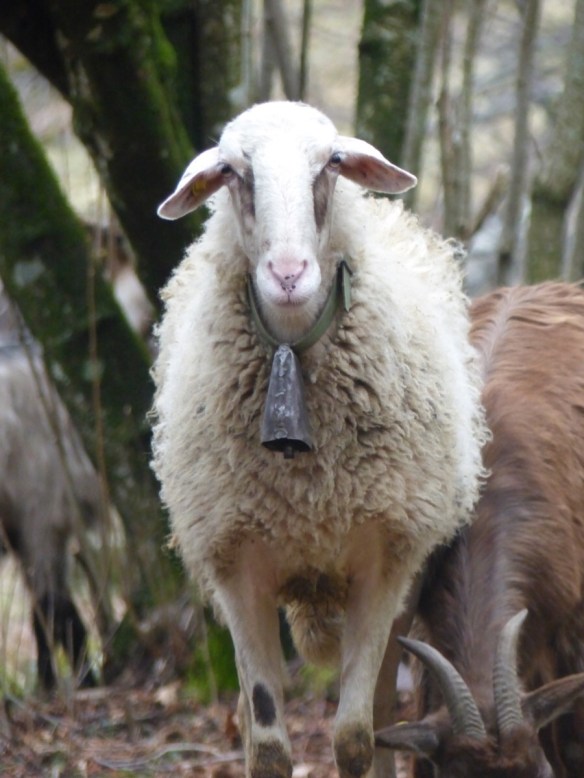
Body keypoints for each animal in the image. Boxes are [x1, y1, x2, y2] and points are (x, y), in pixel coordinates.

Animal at [152, 100, 488, 778]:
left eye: (331, 163)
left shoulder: (383, 563)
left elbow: (355, 736)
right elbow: (269, 744)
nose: (288, 275)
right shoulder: (236, 570)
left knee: (382, 714)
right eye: (232, 172)